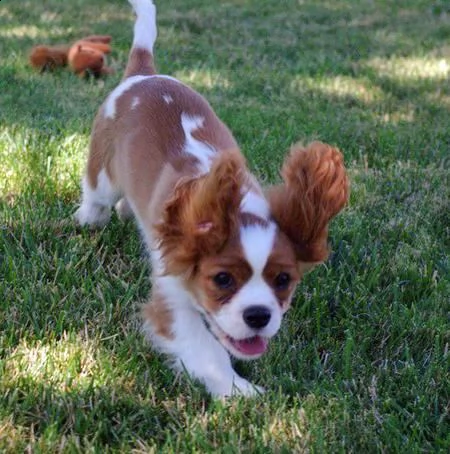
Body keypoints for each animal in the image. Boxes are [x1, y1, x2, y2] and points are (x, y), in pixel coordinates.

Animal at [75, 0, 350, 398]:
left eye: (283, 279)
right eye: (222, 279)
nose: (258, 315)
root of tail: (143, 75)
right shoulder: (173, 296)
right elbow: (206, 349)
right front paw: (238, 391)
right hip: (103, 172)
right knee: (97, 198)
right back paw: (88, 219)